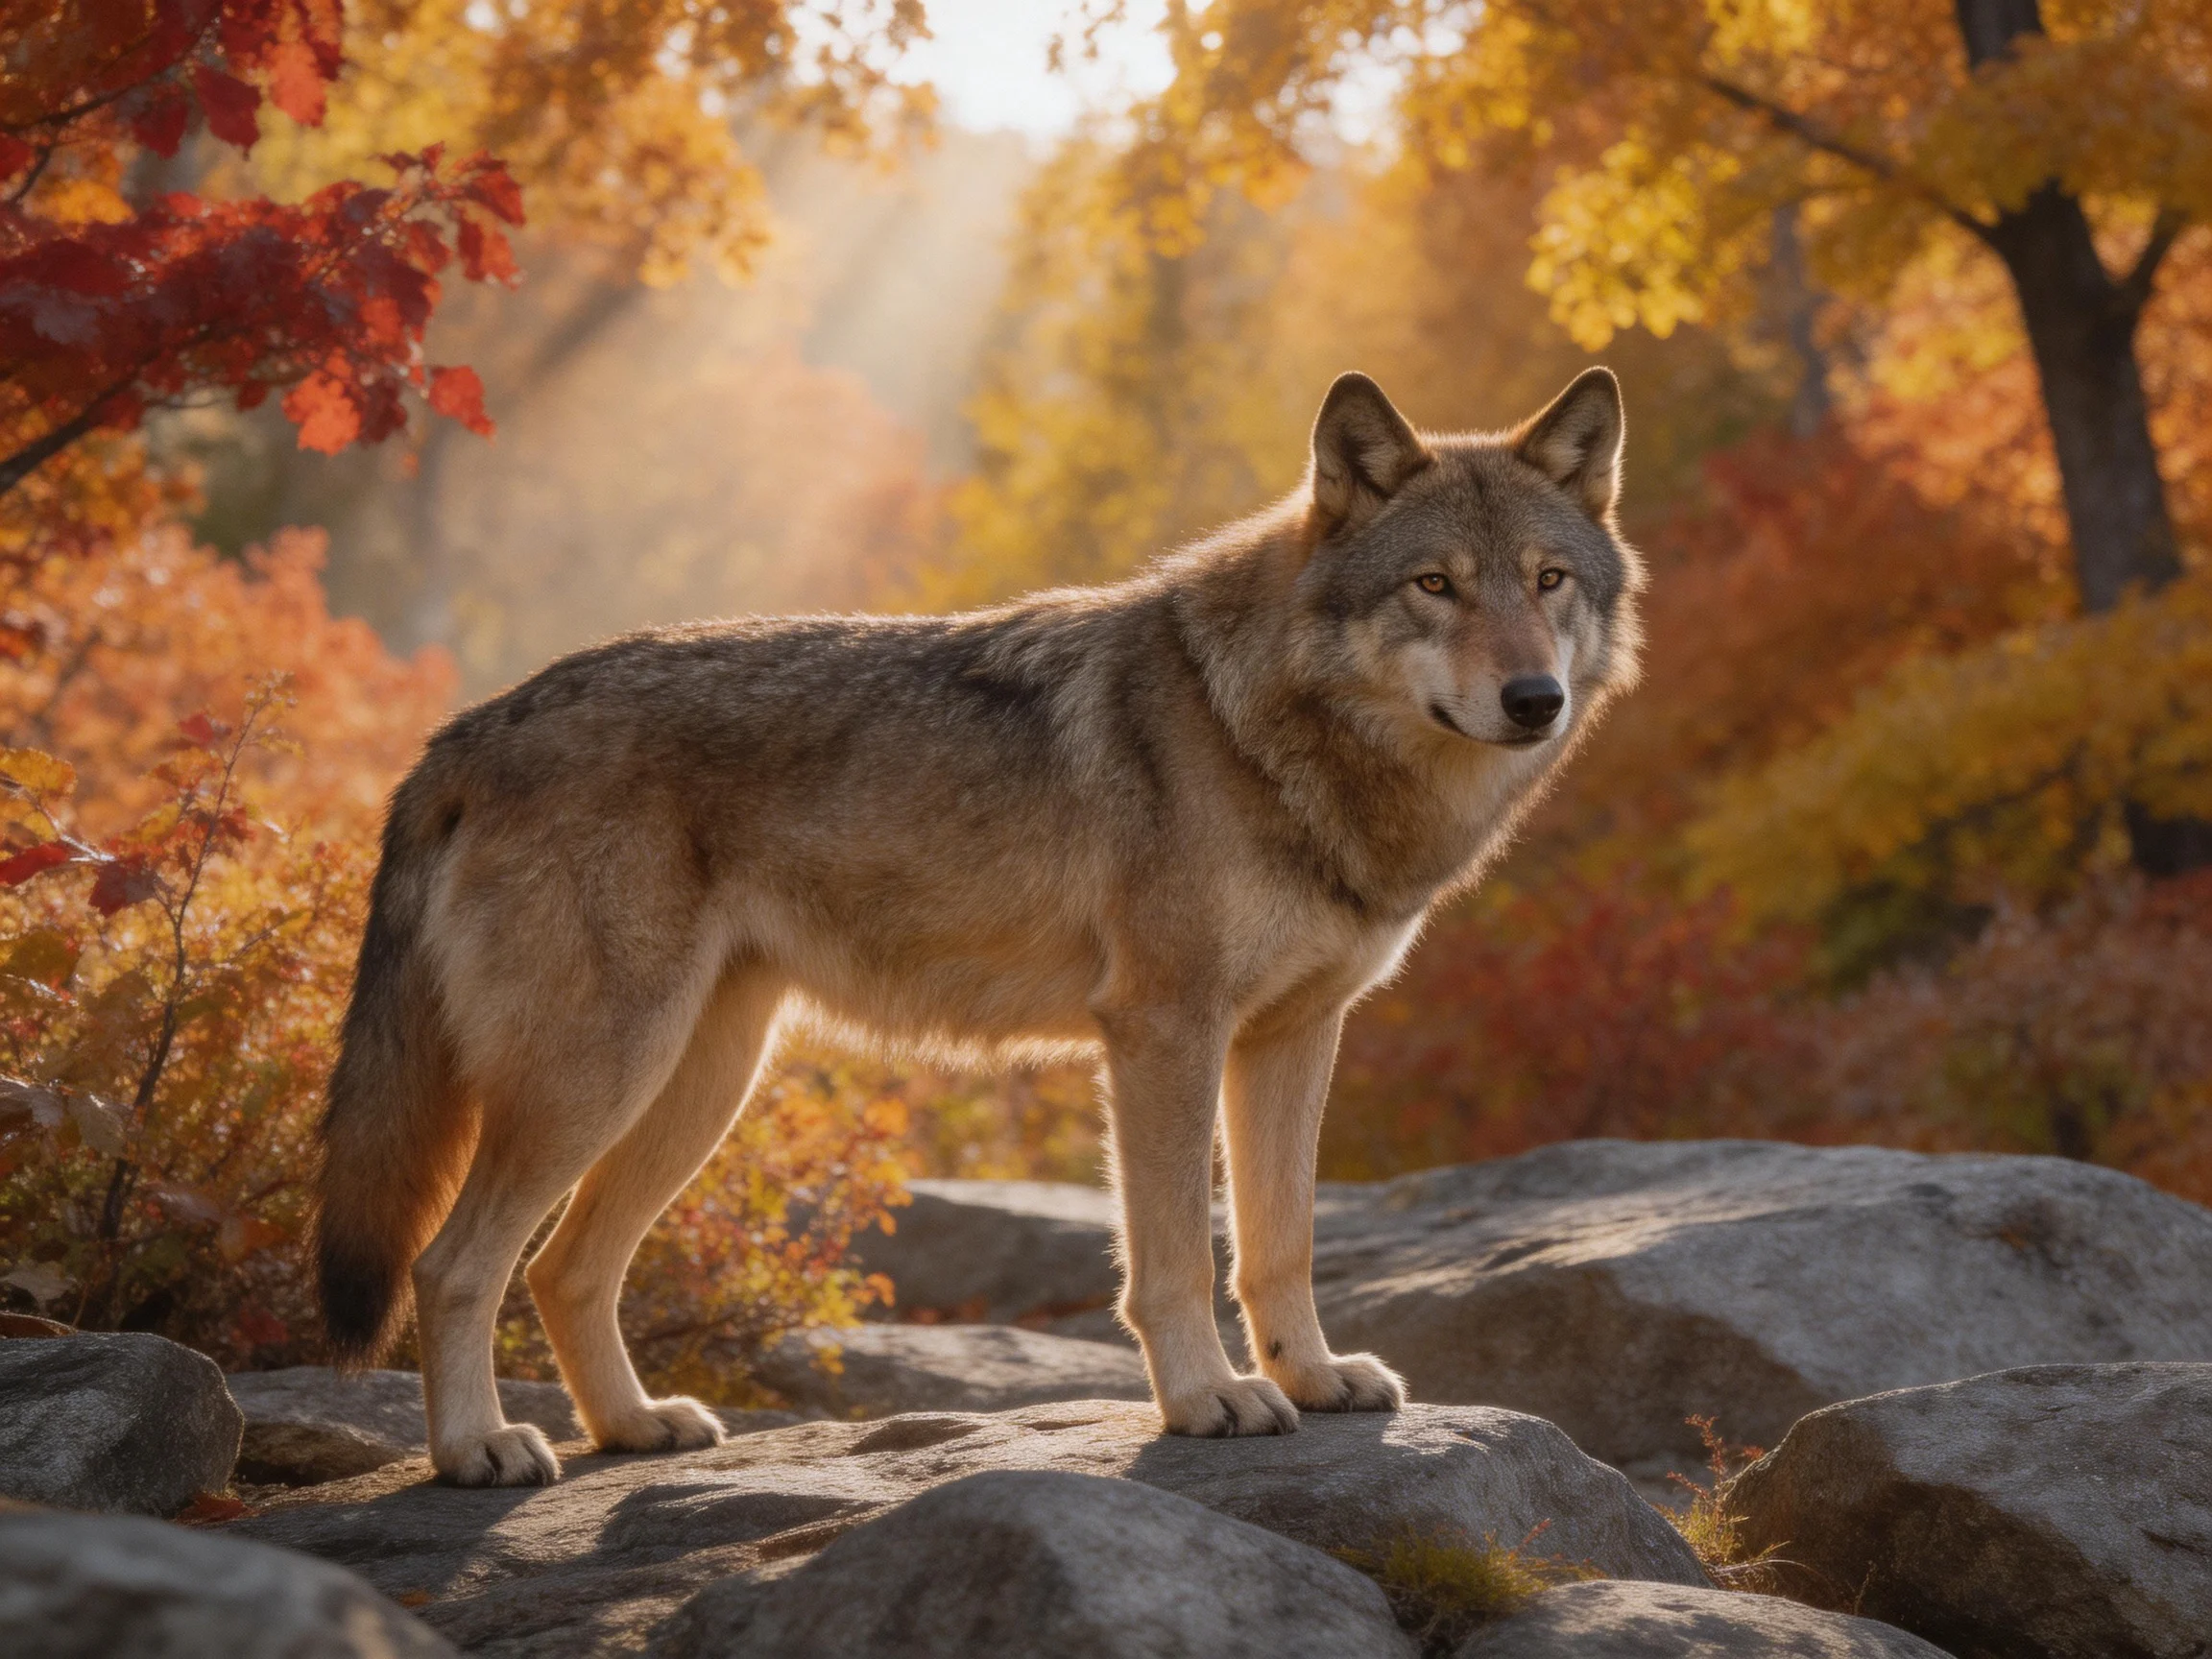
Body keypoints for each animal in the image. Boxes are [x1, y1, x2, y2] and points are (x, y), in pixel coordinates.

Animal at [315, 368, 1643, 1486]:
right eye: (1436, 585)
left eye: (1547, 581)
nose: (1535, 698)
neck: (1266, 732)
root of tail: (465, 729)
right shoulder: (1162, 1031)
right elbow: (1175, 1255)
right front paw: (1208, 1400)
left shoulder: (1293, 1037)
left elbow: (1281, 1243)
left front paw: (1311, 1380)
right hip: (601, 1078)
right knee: (453, 1264)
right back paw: (479, 1451)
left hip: (698, 1085)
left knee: (565, 1266)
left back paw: (634, 1428)